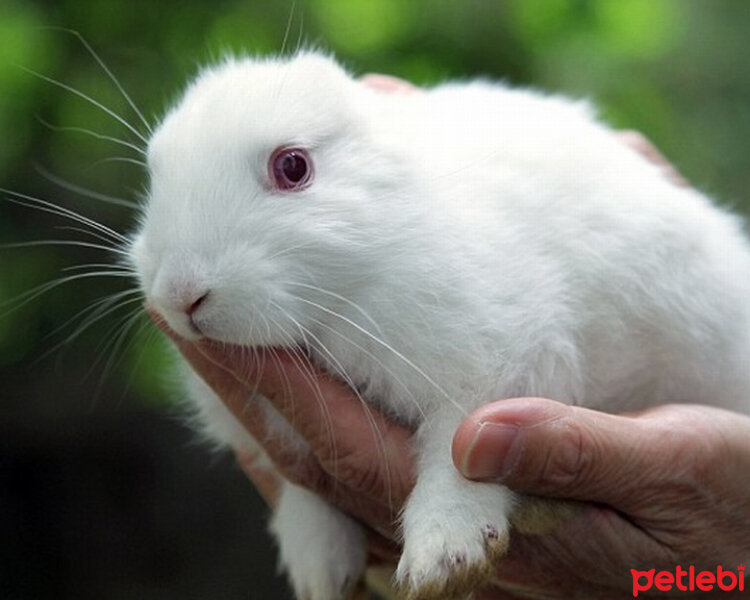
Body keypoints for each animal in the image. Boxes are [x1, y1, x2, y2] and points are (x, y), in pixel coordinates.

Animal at [132, 52, 750, 600]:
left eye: (292, 166)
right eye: (155, 177)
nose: (182, 294)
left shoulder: (500, 369)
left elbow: (457, 459)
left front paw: (443, 559)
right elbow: (302, 487)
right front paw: (319, 572)